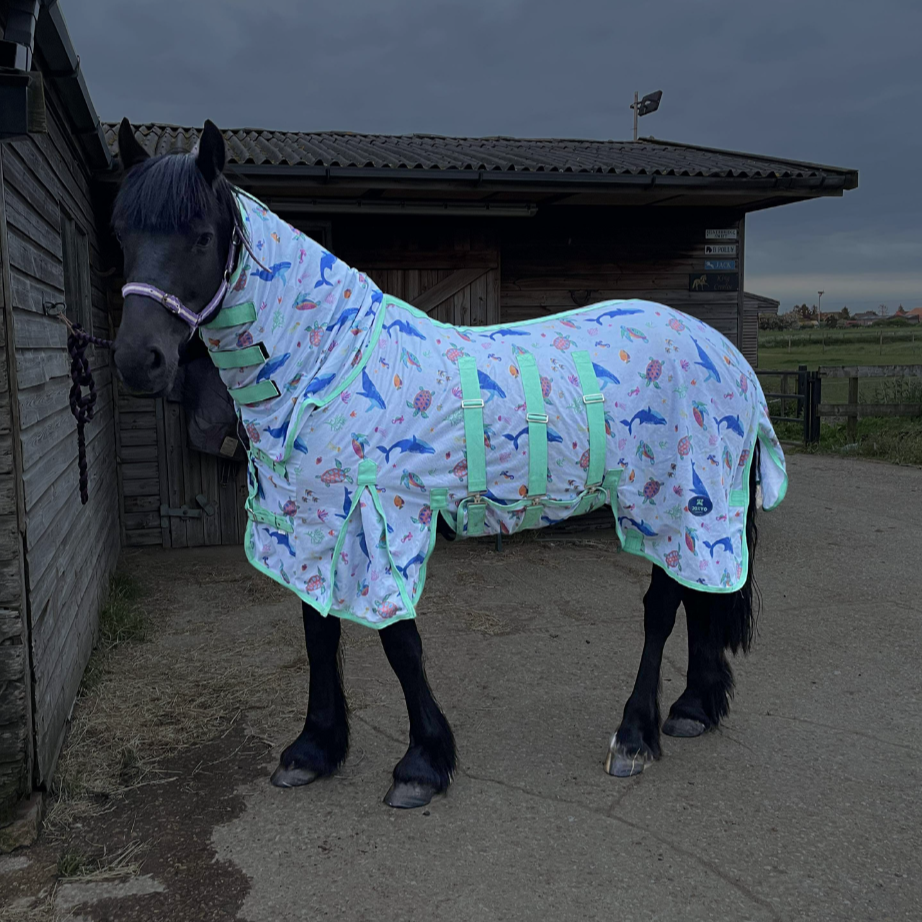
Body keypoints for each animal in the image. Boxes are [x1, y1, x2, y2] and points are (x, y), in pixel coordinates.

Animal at [110, 119, 788, 809]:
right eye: (121, 232)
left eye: (201, 236)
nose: (140, 360)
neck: (333, 364)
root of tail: (726, 354)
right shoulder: (315, 523)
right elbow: (318, 632)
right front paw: (313, 749)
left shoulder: (384, 518)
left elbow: (399, 643)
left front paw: (422, 765)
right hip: (698, 504)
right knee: (702, 592)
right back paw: (693, 709)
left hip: (672, 499)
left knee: (664, 605)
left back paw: (633, 736)